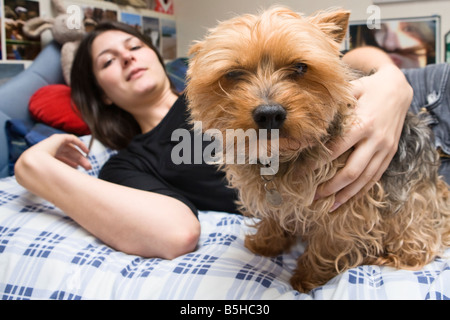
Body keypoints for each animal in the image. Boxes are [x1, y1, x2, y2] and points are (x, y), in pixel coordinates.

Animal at [184, 6, 450, 292]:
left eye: (300, 67)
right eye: (233, 73)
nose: (269, 114)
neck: (282, 155)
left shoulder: (347, 198)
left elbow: (331, 241)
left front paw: (308, 277)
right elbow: (273, 215)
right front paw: (266, 243)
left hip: (412, 204)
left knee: (418, 244)